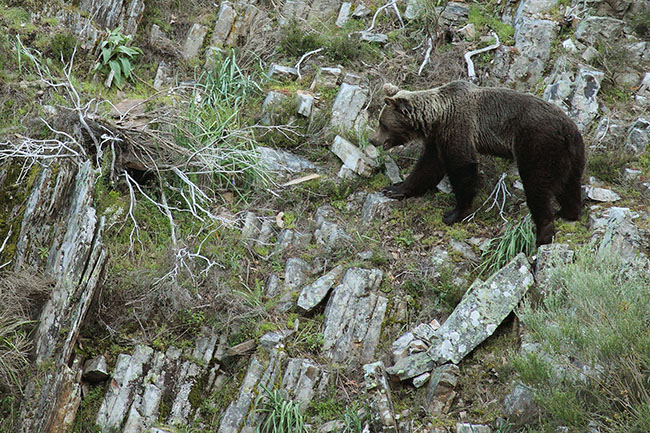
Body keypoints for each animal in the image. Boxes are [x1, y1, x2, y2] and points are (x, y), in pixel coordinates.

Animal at [368, 81, 584, 246]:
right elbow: (427, 167)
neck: (437, 117)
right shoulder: (438, 139)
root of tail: (567, 128)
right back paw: (567, 212)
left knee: (536, 185)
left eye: (382, 123)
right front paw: (395, 189)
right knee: (569, 185)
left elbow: (462, 167)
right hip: (571, 154)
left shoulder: (458, 127)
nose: (372, 140)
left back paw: (542, 235)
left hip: (537, 144)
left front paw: (454, 214)